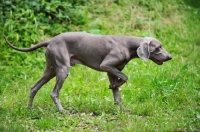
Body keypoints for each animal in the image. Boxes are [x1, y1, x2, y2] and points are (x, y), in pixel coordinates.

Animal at [3, 32, 172, 112]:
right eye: (158, 48)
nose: (170, 57)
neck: (128, 45)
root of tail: (50, 41)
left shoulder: (112, 71)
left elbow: (117, 94)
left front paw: (122, 109)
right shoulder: (106, 65)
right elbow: (125, 77)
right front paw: (116, 86)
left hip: (51, 70)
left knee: (34, 87)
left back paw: (29, 108)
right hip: (63, 70)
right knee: (54, 93)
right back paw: (62, 111)